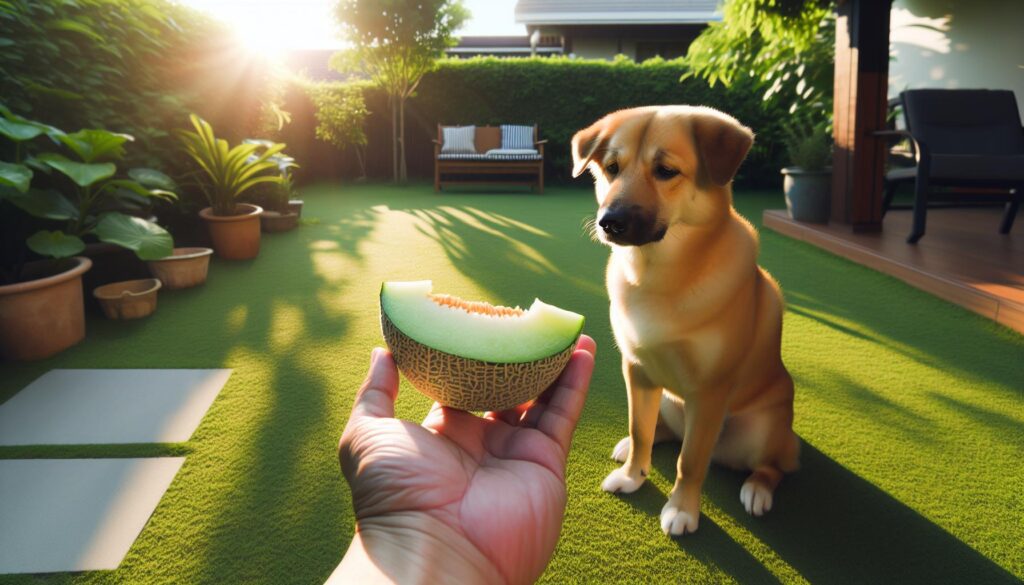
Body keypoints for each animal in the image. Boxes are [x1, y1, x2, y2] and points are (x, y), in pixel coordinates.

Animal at [569, 105, 798, 536]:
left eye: (665, 171)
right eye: (611, 168)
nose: (609, 221)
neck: (659, 278)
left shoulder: (708, 393)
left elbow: (690, 461)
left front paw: (681, 509)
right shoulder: (637, 370)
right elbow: (640, 428)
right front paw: (633, 474)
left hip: (761, 430)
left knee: (775, 466)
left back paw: (758, 489)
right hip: (669, 401)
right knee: (661, 431)